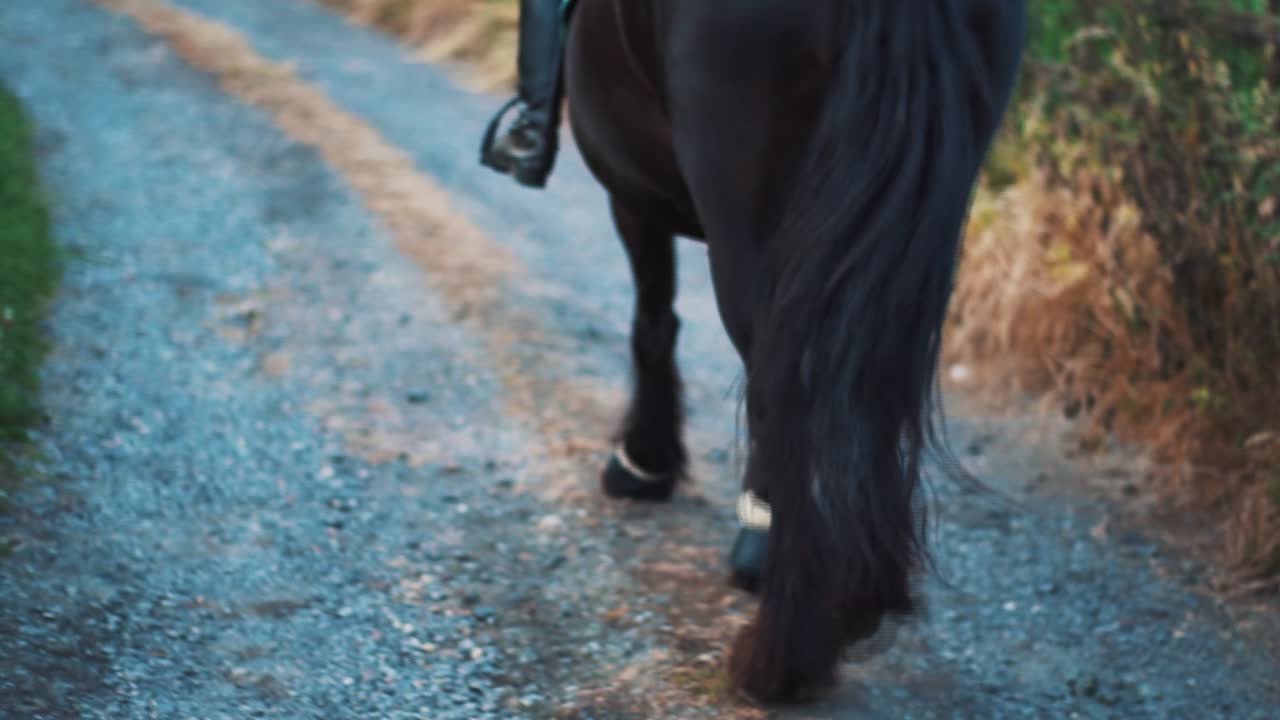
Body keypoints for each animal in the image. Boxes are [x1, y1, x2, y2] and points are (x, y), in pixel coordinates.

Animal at [562, 0, 1028, 703]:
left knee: (784, 382)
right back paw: (859, 592)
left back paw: (785, 646)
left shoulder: (633, 193)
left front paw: (644, 461)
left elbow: (653, 318)